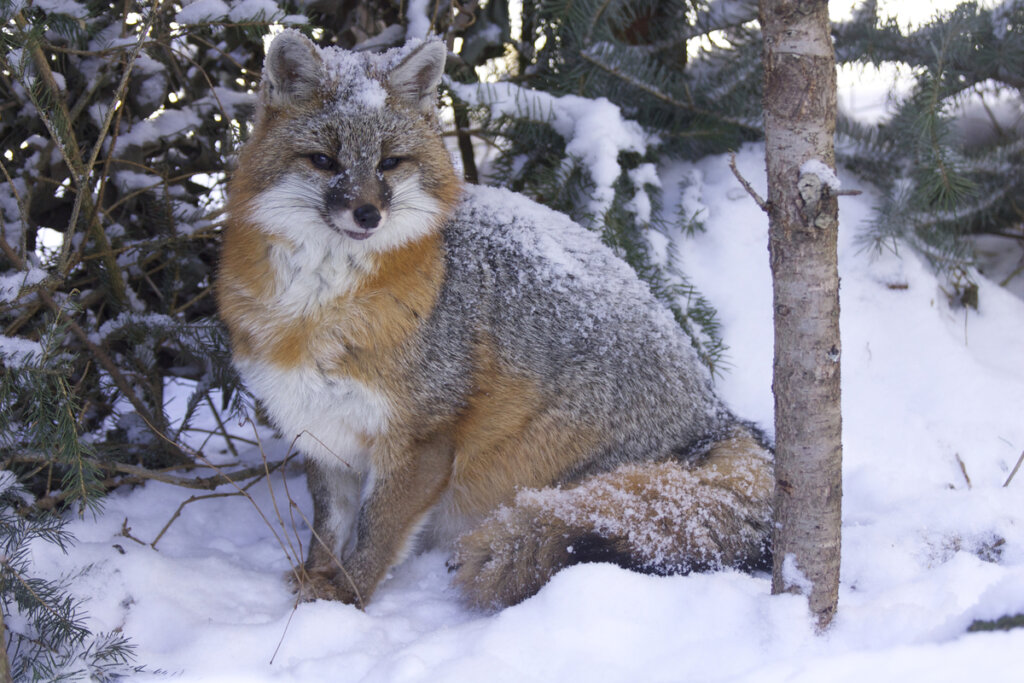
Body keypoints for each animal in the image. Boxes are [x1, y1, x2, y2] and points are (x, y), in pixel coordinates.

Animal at [218, 29, 774, 610]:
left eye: (390, 163)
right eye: (324, 160)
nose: (368, 215)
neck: (314, 313)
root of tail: (720, 418)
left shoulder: (421, 440)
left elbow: (375, 536)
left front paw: (344, 600)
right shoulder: (322, 433)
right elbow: (328, 529)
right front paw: (315, 579)